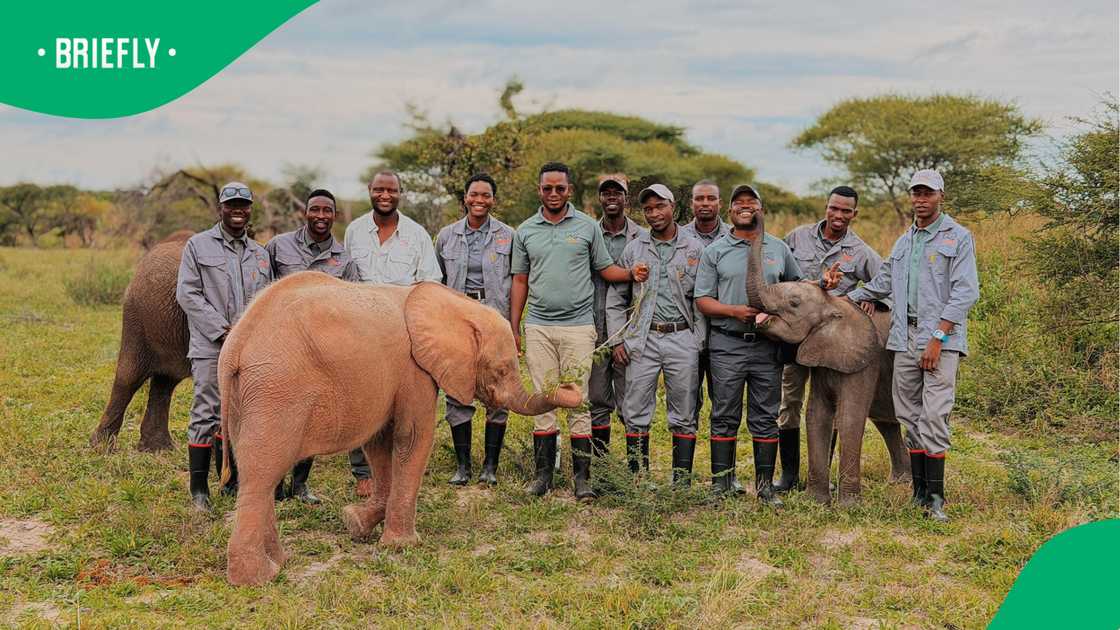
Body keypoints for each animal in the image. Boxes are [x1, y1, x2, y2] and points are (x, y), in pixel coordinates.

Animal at [218, 274, 582, 586]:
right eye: (502, 369)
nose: (570, 385)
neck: (454, 303)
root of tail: (235, 346)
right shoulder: (414, 369)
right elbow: (412, 439)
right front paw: (401, 545)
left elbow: (380, 443)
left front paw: (356, 522)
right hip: (277, 391)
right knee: (262, 473)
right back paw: (257, 578)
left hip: (248, 398)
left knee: (256, 472)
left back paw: (280, 562)